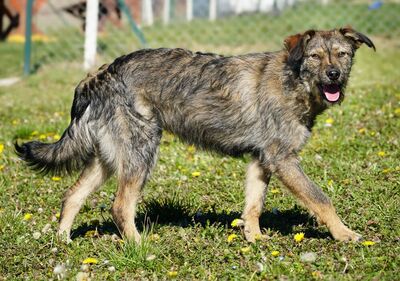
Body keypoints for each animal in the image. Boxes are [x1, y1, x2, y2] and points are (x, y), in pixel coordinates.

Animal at [14, 26, 374, 243]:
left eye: (342, 54)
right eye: (315, 56)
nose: (334, 75)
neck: (293, 80)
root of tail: (100, 74)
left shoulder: (261, 162)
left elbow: (253, 206)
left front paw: (254, 239)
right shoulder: (283, 160)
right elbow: (321, 199)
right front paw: (345, 234)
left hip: (109, 159)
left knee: (72, 195)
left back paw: (62, 241)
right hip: (141, 154)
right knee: (120, 206)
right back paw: (139, 246)